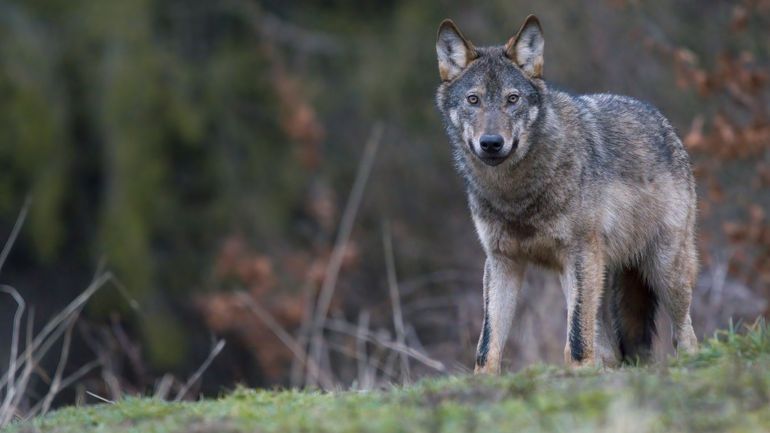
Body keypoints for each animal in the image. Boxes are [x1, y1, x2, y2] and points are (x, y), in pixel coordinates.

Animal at [435, 15, 699, 373]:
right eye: (473, 100)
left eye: (512, 99)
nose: (491, 143)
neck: (517, 195)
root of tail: (662, 121)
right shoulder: (502, 262)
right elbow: (487, 346)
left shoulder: (580, 253)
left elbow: (575, 341)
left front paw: (578, 374)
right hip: (589, 277)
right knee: (610, 349)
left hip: (663, 269)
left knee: (685, 334)